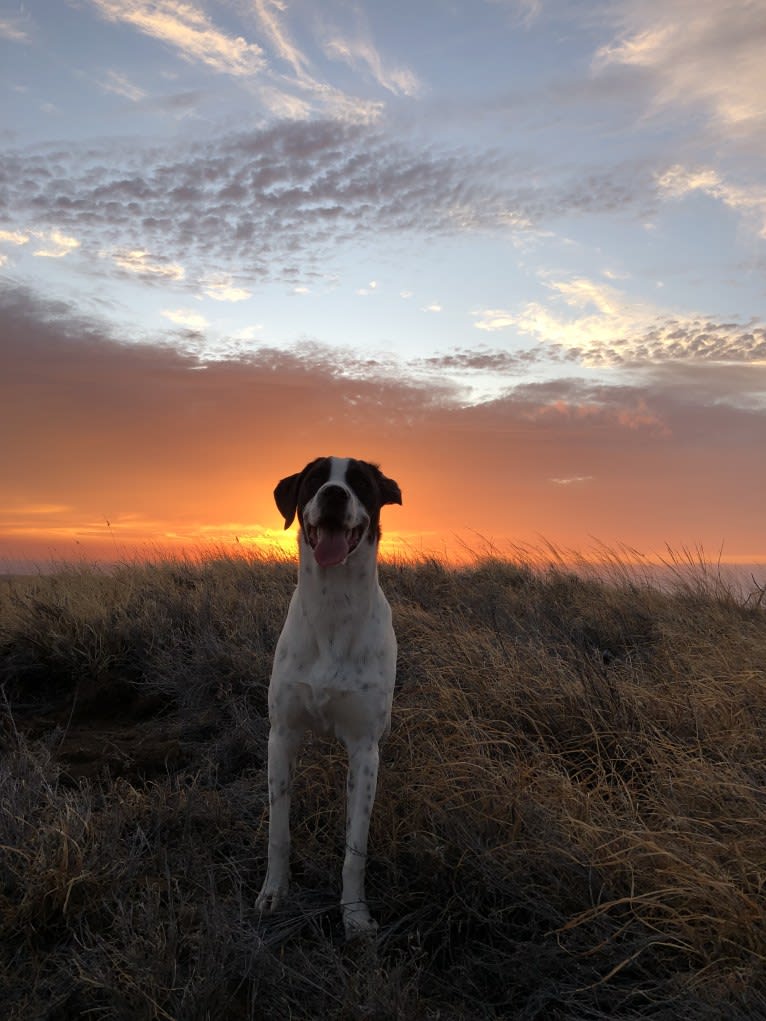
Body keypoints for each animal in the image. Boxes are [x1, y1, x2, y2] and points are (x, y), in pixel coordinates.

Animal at [256, 459, 402, 935]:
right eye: (316, 479)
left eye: (360, 483)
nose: (335, 494)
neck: (333, 608)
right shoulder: (282, 735)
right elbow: (278, 834)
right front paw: (274, 893)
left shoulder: (364, 750)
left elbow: (355, 850)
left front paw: (355, 915)